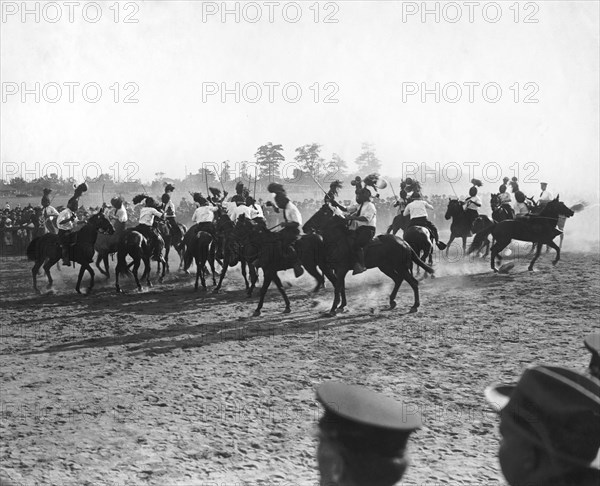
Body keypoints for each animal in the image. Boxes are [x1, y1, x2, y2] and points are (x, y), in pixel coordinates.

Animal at [302, 204, 434, 316]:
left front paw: (333, 309)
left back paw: (415, 305)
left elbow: (337, 288)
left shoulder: (340, 269)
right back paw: (392, 301)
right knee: (398, 279)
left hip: (401, 267)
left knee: (413, 282)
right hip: (386, 267)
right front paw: (341, 306)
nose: (304, 227)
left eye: (323, 213)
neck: (338, 240)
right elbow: (341, 287)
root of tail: (404, 242)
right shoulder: (338, 270)